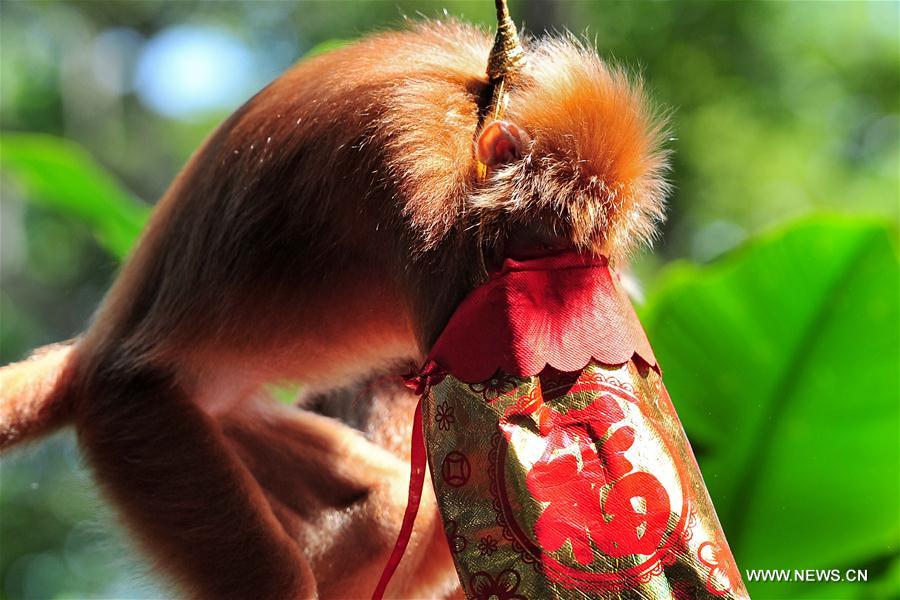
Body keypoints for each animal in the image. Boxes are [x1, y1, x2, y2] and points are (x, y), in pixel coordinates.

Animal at [0, 7, 668, 596]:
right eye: (535, 247)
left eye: (574, 260)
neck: (475, 105)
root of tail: (98, 352)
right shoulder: (424, 199)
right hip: (137, 418)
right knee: (281, 573)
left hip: (212, 416)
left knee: (384, 506)